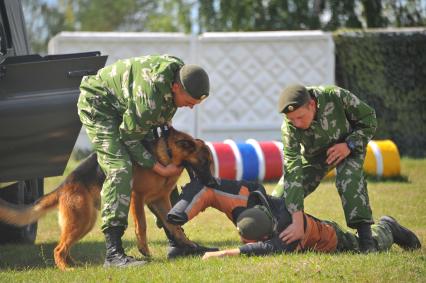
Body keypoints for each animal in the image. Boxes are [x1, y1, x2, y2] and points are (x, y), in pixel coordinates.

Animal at [0, 127, 216, 270]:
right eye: (204, 162)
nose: (214, 183)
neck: (167, 155)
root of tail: (65, 184)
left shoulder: (160, 201)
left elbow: (174, 226)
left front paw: (187, 244)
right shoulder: (137, 198)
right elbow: (142, 225)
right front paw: (144, 249)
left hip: (85, 222)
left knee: (65, 247)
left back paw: (74, 264)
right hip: (81, 220)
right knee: (58, 248)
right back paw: (66, 268)